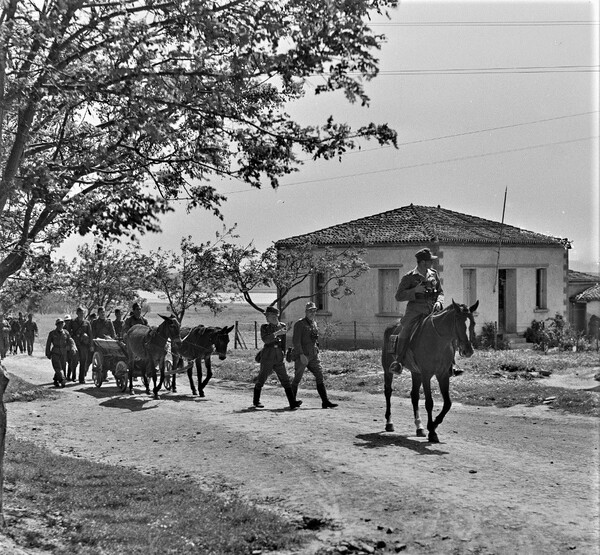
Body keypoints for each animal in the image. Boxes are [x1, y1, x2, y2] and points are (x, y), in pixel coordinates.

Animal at [384, 300, 478, 444]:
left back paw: (419, 427)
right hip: (388, 369)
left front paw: (433, 424)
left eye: (473, 323)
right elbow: (429, 403)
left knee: (414, 396)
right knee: (388, 392)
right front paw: (432, 432)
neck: (438, 340)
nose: (468, 351)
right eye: (459, 323)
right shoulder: (426, 375)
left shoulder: (443, 375)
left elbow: (447, 403)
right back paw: (389, 423)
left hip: (416, 373)